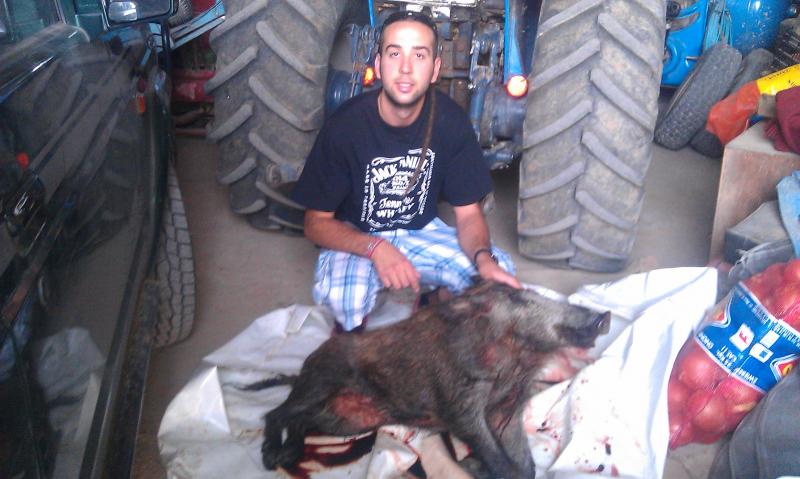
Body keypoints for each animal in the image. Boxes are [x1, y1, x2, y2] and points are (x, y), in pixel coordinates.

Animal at [256, 281, 609, 478]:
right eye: (518, 299)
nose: (602, 317)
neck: (511, 366)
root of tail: (302, 369)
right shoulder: (460, 404)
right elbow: (500, 460)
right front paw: (470, 467)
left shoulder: (506, 410)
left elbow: (525, 467)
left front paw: (474, 467)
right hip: (320, 382)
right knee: (274, 413)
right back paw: (271, 459)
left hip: (347, 420)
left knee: (300, 421)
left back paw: (287, 456)